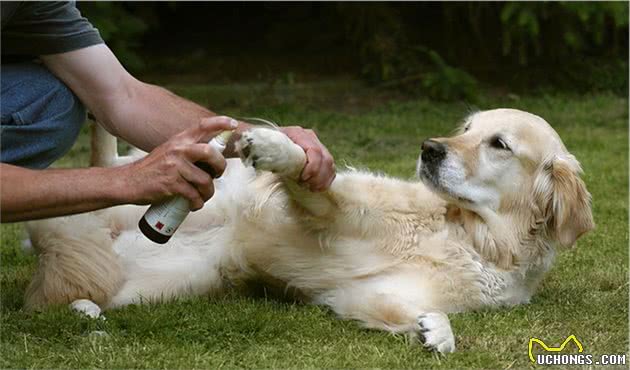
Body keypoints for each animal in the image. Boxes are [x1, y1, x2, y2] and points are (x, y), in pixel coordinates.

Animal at [24, 109, 596, 352]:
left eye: (498, 144)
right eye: (466, 129)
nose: (429, 149)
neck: (470, 234)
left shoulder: (370, 294)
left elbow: (426, 319)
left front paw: (433, 333)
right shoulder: (336, 211)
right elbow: (312, 176)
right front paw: (277, 147)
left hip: (163, 280)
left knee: (70, 286)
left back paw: (84, 310)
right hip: (182, 190)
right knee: (109, 166)